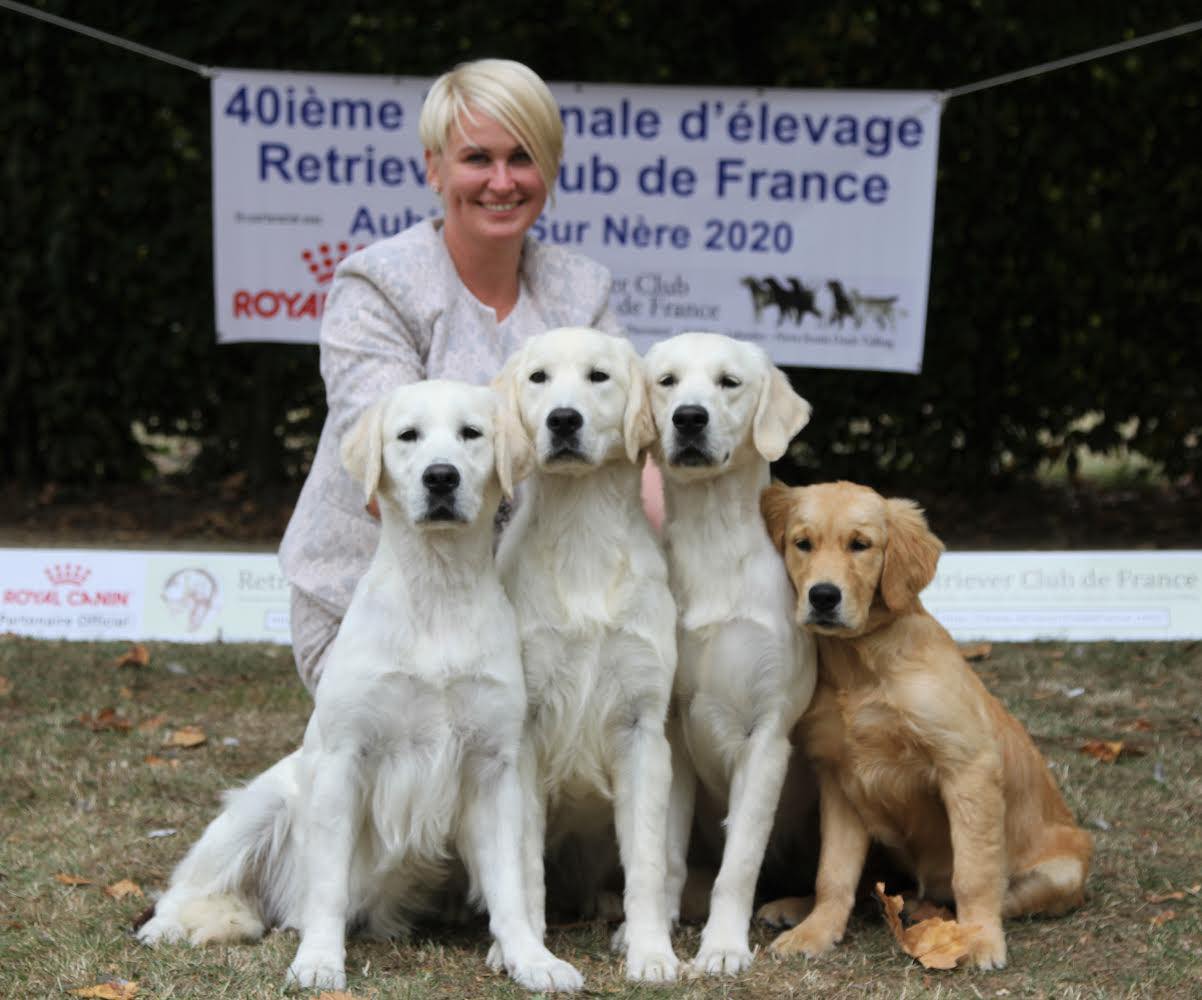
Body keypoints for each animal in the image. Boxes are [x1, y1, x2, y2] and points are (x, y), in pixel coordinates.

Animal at [137, 379, 581, 990]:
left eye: (471, 433)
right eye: (407, 435)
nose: (440, 477)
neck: (437, 588)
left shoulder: (494, 765)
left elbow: (510, 885)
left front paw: (532, 959)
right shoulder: (344, 758)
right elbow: (327, 886)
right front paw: (320, 961)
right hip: (257, 808)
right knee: (188, 888)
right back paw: (171, 926)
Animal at [492, 326, 682, 985]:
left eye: (599, 376)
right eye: (539, 378)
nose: (563, 420)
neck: (583, 533)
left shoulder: (643, 729)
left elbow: (646, 863)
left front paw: (652, 951)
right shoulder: (522, 734)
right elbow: (522, 864)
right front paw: (527, 952)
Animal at [649, 331, 817, 971]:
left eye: (729, 382)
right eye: (667, 381)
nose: (688, 418)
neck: (712, 538)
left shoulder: (767, 733)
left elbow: (740, 861)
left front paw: (721, 946)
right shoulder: (669, 727)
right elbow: (665, 854)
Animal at [764, 485, 1096, 971]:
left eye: (860, 545)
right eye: (802, 543)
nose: (823, 596)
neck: (861, 665)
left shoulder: (968, 767)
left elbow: (974, 873)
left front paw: (979, 939)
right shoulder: (840, 780)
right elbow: (834, 872)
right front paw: (817, 931)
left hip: (1061, 872)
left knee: (993, 893)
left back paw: (928, 912)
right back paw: (795, 906)